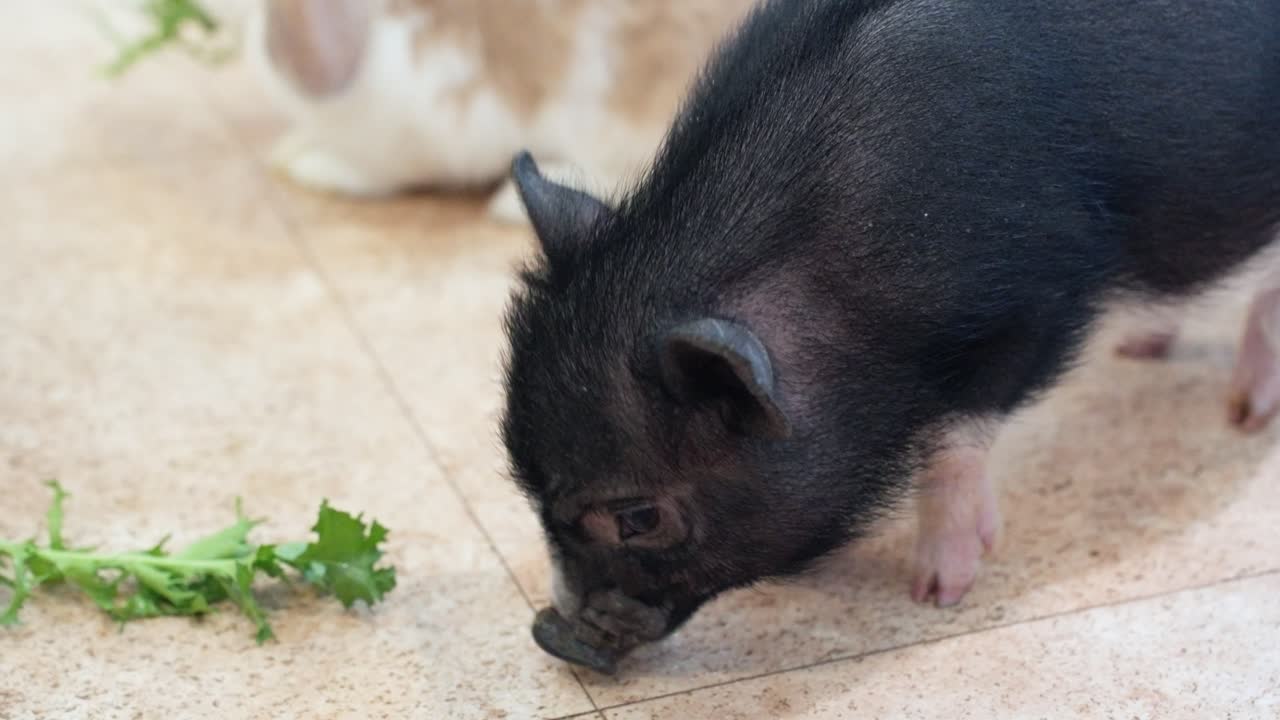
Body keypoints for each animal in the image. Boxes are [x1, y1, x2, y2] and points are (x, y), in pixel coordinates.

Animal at [498, 0, 1280, 673]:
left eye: (637, 516)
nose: (552, 635)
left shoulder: (1044, 297)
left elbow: (954, 430)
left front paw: (938, 592)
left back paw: (1246, 417)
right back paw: (1142, 349)